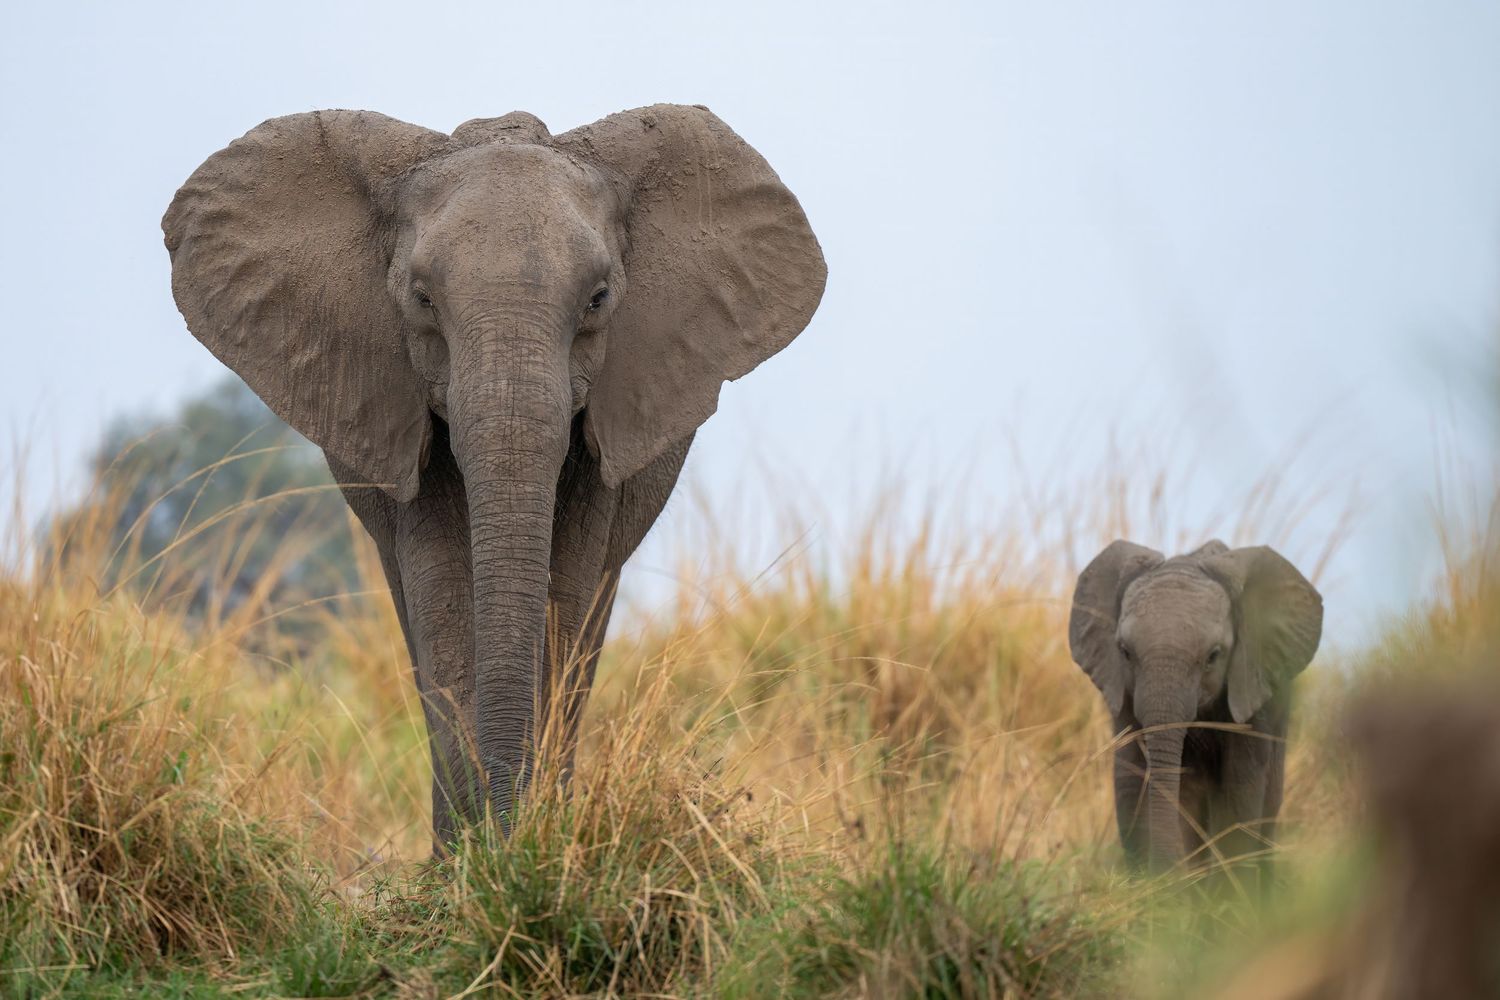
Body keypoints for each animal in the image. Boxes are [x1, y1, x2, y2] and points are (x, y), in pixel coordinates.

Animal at [162, 105, 826, 845]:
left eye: (599, 299)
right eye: (422, 299)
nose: (507, 829)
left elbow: (567, 589)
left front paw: (533, 846)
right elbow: (443, 591)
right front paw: (470, 861)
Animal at [1068, 540, 1322, 872]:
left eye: (1213, 655)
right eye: (1124, 652)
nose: (1163, 873)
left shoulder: (1254, 698)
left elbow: (1239, 790)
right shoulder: (1122, 694)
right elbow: (1132, 781)